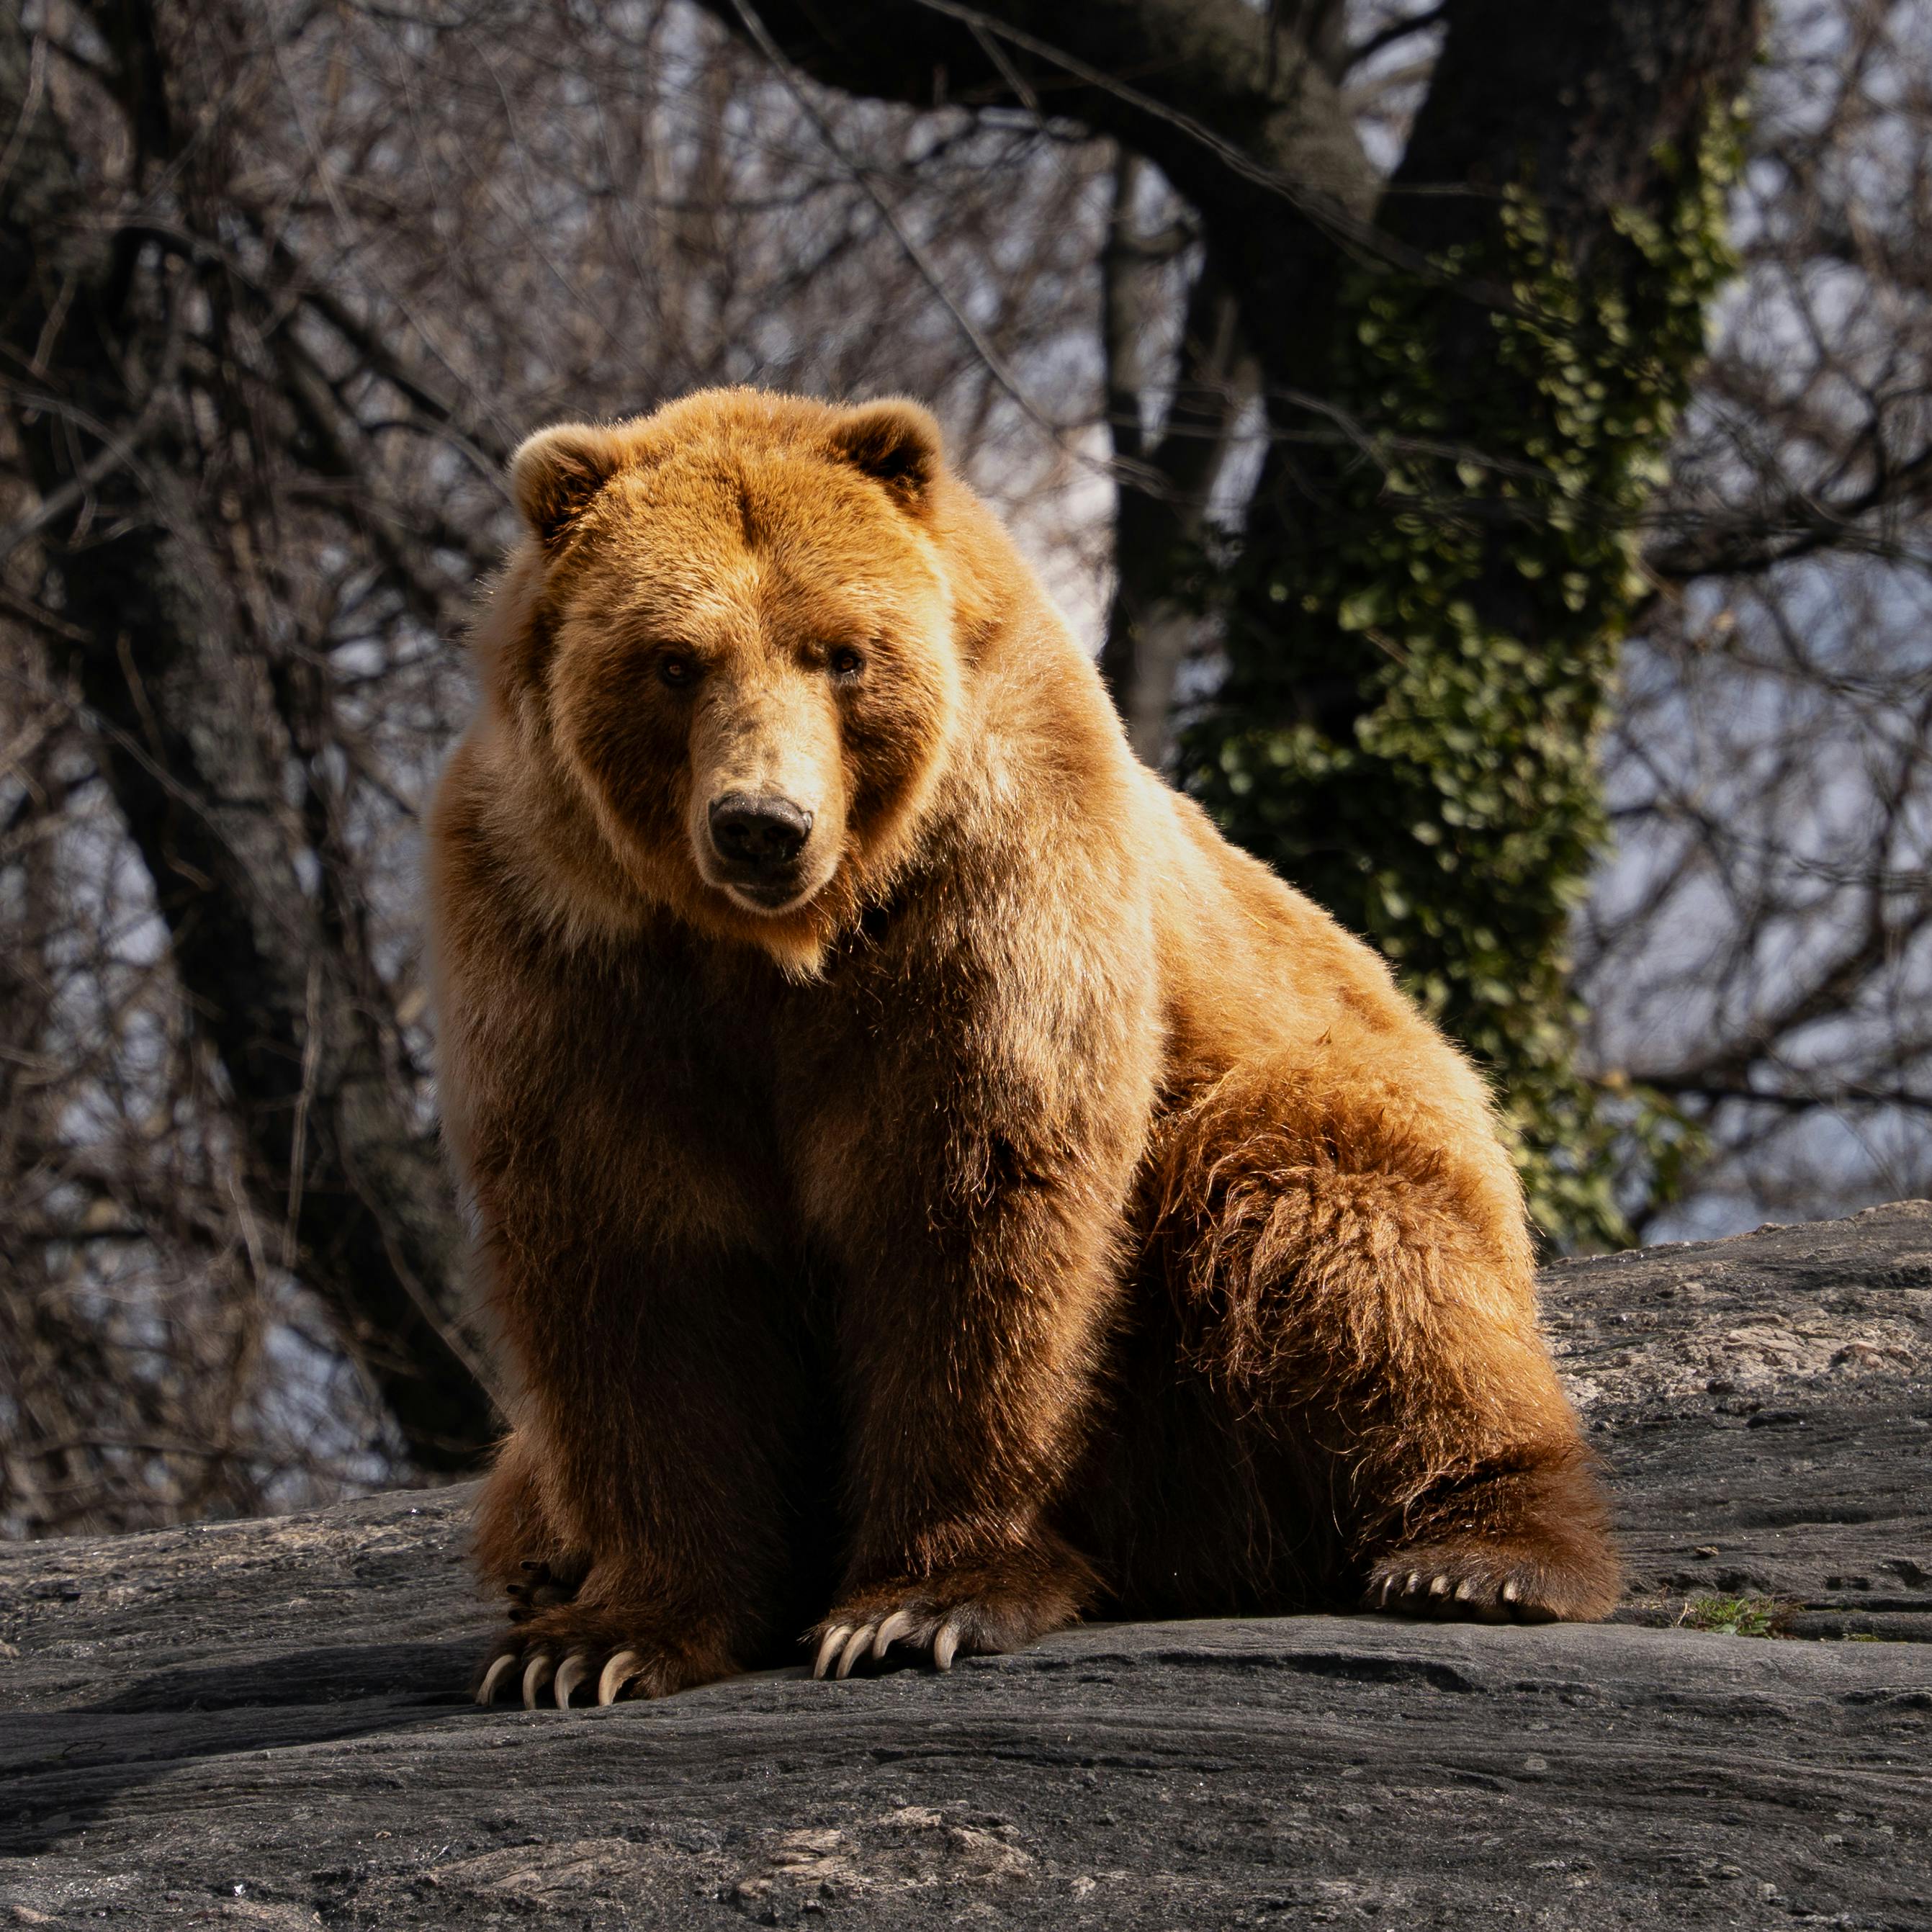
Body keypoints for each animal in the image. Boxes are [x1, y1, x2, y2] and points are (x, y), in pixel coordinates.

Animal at [428, 387, 1620, 1711]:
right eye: (674, 659)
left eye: (840, 650)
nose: (762, 825)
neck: (774, 950)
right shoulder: (577, 957)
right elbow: (639, 1264)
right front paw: (599, 1637)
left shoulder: (985, 894)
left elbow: (971, 1215)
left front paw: (914, 1604)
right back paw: (542, 1564)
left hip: (1302, 1156)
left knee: (1335, 1224)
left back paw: (1477, 1552)